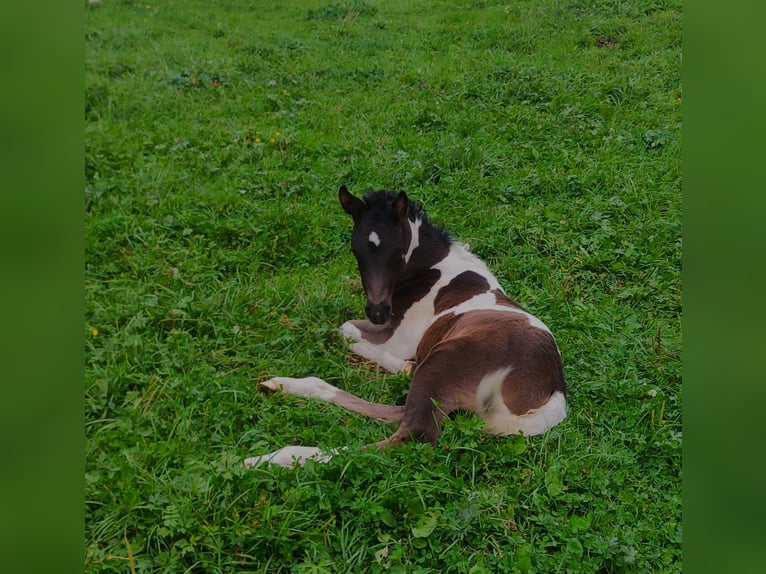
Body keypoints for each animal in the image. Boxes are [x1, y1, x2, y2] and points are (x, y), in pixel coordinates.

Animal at [244, 185, 566, 468]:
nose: (377, 312)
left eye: (397, 250)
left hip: (442, 362)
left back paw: (271, 459)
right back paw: (281, 386)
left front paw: (401, 364)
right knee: (398, 412)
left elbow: (346, 329)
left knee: (410, 434)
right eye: (355, 249)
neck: (433, 269)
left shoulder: (401, 339)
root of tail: (553, 391)